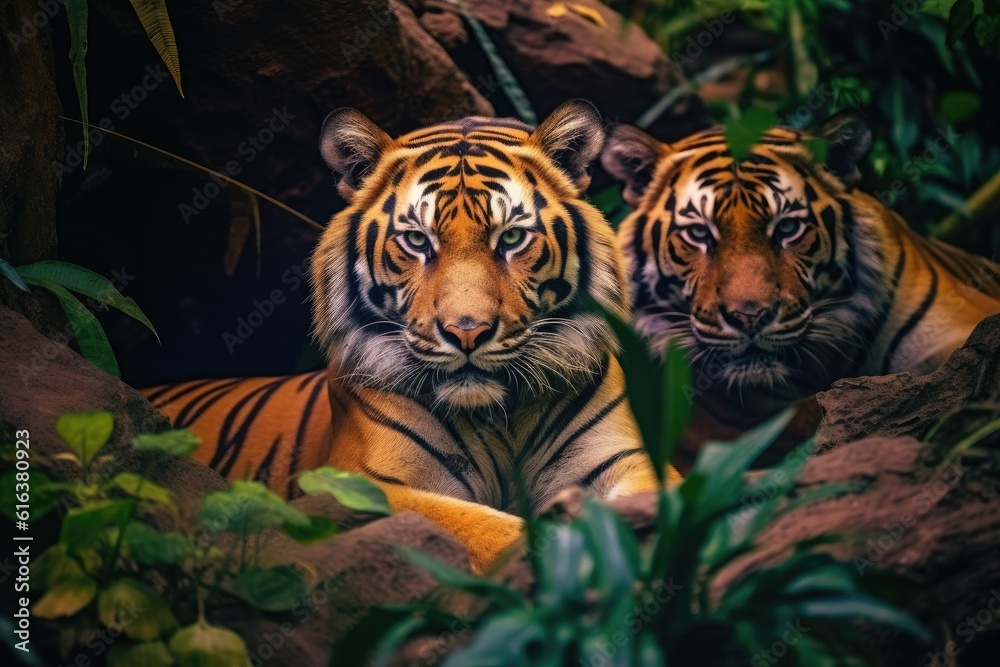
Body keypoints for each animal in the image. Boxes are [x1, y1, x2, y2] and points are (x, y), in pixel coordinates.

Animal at [143, 100, 679, 572]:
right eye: (418, 240)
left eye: (511, 238)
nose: (468, 331)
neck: (498, 417)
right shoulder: (359, 484)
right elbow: (486, 529)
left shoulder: (629, 461)